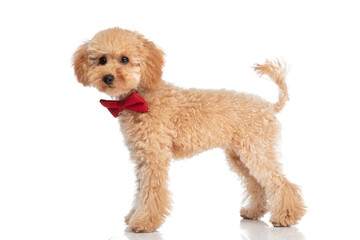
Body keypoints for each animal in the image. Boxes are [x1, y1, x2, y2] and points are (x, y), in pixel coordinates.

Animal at [72, 27, 306, 232]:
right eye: (102, 60)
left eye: (124, 59)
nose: (108, 77)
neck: (139, 97)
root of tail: (270, 107)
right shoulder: (142, 157)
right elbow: (140, 190)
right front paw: (133, 215)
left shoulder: (155, 157)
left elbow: (151, 191)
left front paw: (144, 223)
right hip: (239, 156)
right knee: (257, 185)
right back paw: (253, 212)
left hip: (257, 151)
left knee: (281, 183)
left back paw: (286, 217)